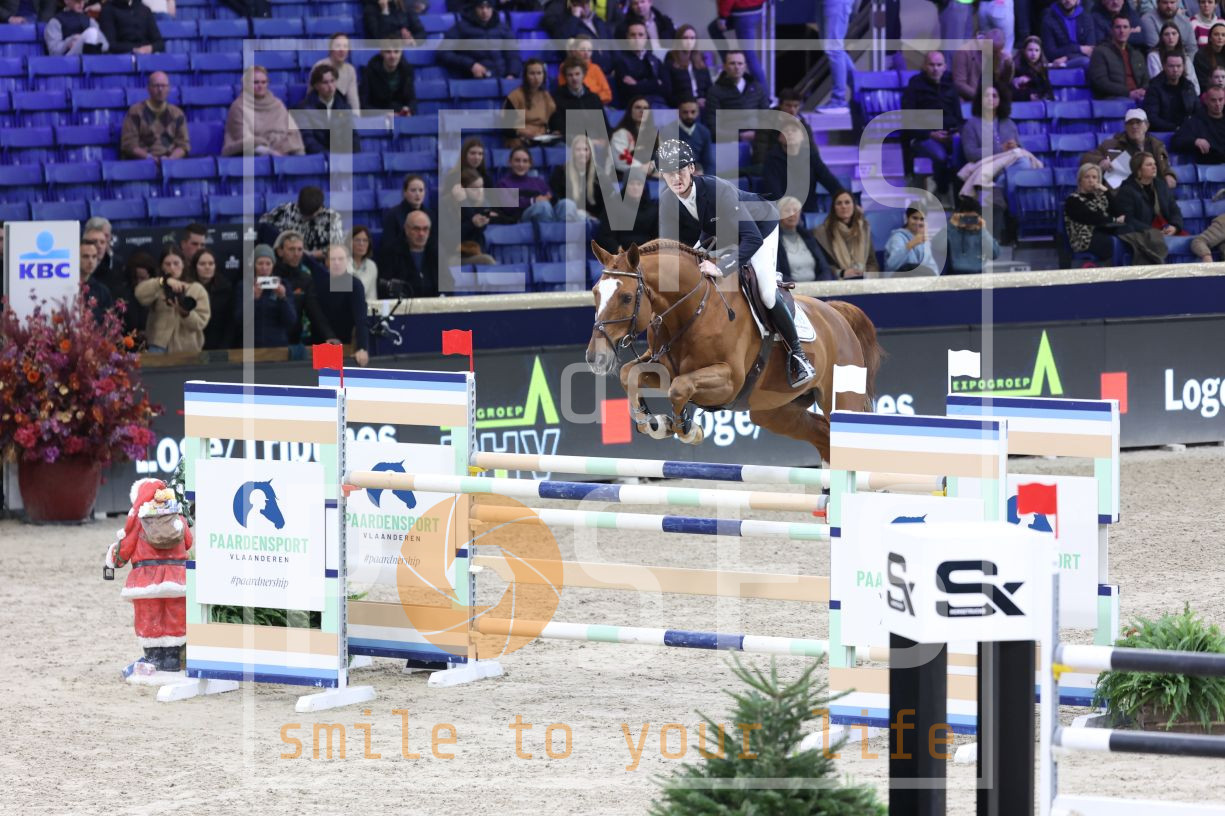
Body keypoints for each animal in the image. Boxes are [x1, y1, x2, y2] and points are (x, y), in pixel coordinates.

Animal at [585, 239, 882, 463]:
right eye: (595, 292)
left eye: (626, 297)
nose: (595, 357)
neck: (692, 309)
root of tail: (837, 315)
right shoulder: (662, 366)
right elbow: (629, 374)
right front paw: (654, 423)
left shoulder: (729, 380)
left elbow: (680, 388)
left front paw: (688, 429)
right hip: (774, 410)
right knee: (822, 434)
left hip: (840, 397)